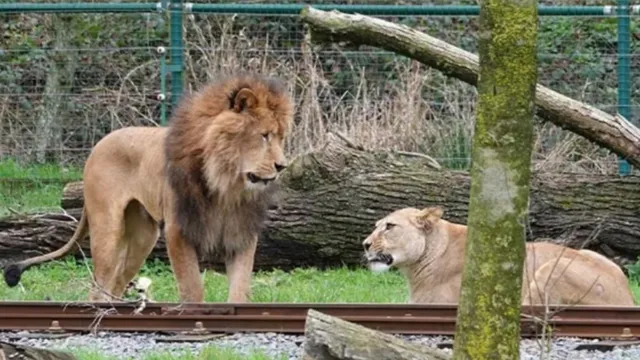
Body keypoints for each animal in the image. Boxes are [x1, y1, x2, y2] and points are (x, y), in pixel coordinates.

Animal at [3, 74, 294, 304]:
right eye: (264, 136)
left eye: (281, 137)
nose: (282, 166)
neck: (226, 185)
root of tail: (98, 145)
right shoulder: (178, 231)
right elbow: (192, 288)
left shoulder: (240, 233)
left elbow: (240, 289)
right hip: (108, 229)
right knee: (99, 287)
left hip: (143, 237)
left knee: (116, 284)